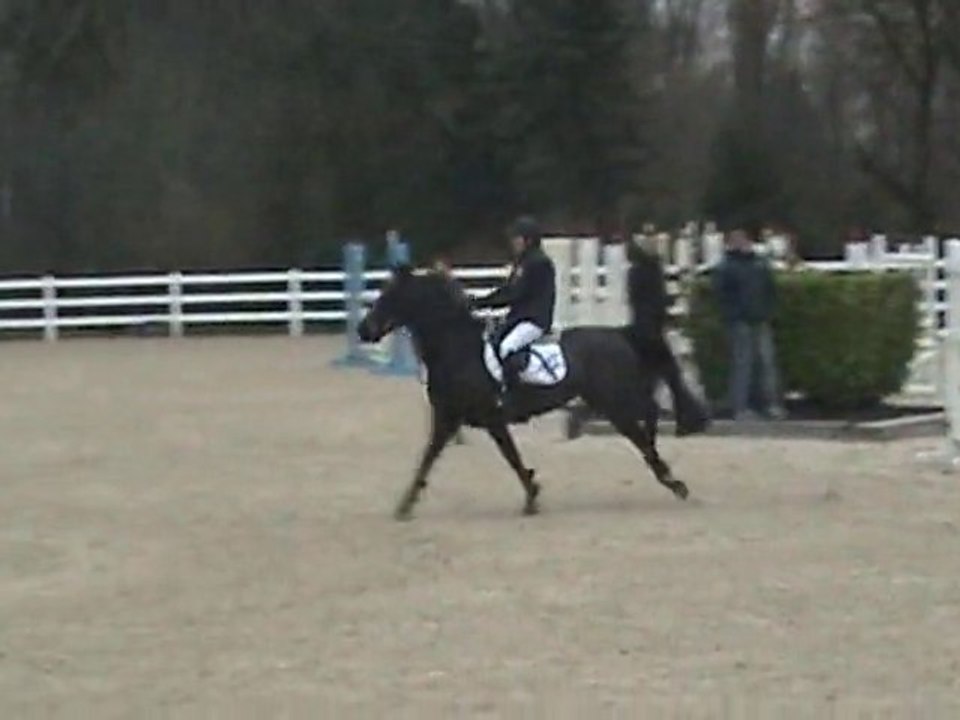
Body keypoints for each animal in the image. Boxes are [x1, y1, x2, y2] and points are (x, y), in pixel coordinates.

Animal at [357, 265, 690, 520]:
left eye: (390, 296)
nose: (364, 330)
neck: (456, 348)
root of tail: (619, 334)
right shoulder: (449, 419)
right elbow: (429, 458)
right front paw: (405, 504)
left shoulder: (488, 419)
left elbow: (511, 457)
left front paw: (531, 496)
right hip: (606, 401)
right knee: (646, 418)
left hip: (615, 402)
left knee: (645, 422)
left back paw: (673, 481)